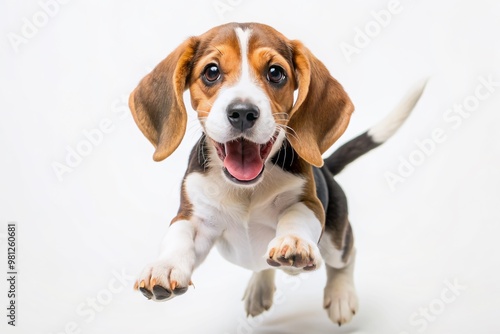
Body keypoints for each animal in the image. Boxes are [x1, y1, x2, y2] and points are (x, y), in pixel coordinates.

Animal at [129, 22, 426, 324]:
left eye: (275, 73)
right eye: (211, 72)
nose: (242, 112)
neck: (246, 189)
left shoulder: (308, 202)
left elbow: (294, 216)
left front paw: (293, 241)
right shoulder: (194, 215)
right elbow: (178, 236)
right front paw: (165, 266)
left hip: (334, 239)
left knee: (347, 253)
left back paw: (341, 294)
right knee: (263, 265)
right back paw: (259, 288)